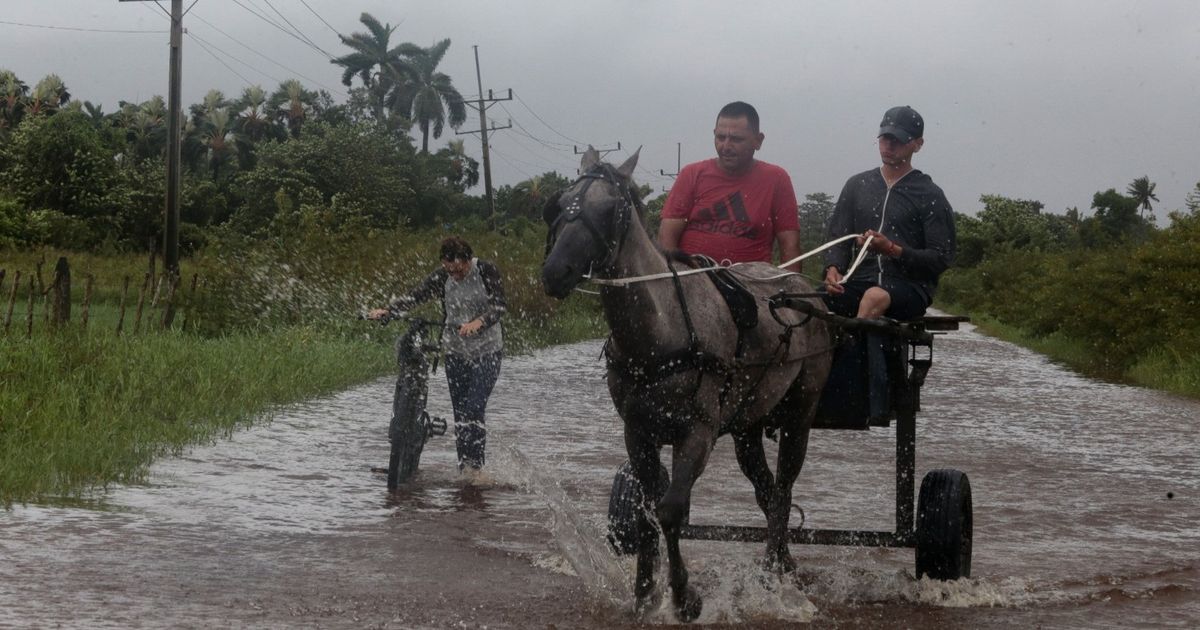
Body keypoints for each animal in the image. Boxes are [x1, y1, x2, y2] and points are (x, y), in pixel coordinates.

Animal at [544, 147, 835, 619]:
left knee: (783, 491)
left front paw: (684, 596)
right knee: (767, 491)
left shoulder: (698, 432)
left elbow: (671, 511)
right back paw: (785, 564)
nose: (555, 271)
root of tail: (797, 287)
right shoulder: (637, 433)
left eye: (611, 209)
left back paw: (772, 574)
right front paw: (644, 592)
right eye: (558, 203)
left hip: (800, 414)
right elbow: (646, 512)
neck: (660, 332)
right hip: (746, 426)